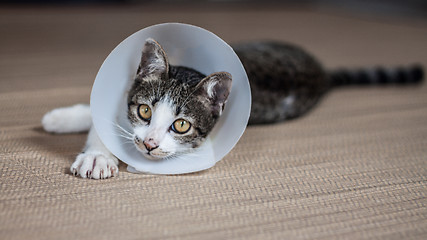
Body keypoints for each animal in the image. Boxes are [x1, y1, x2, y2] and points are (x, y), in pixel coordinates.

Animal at [41, 38, 422, 179]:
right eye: (145, 111)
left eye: (181, 126)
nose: (149, 144)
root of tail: (321, 73)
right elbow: (102, 115)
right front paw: (85, 140)